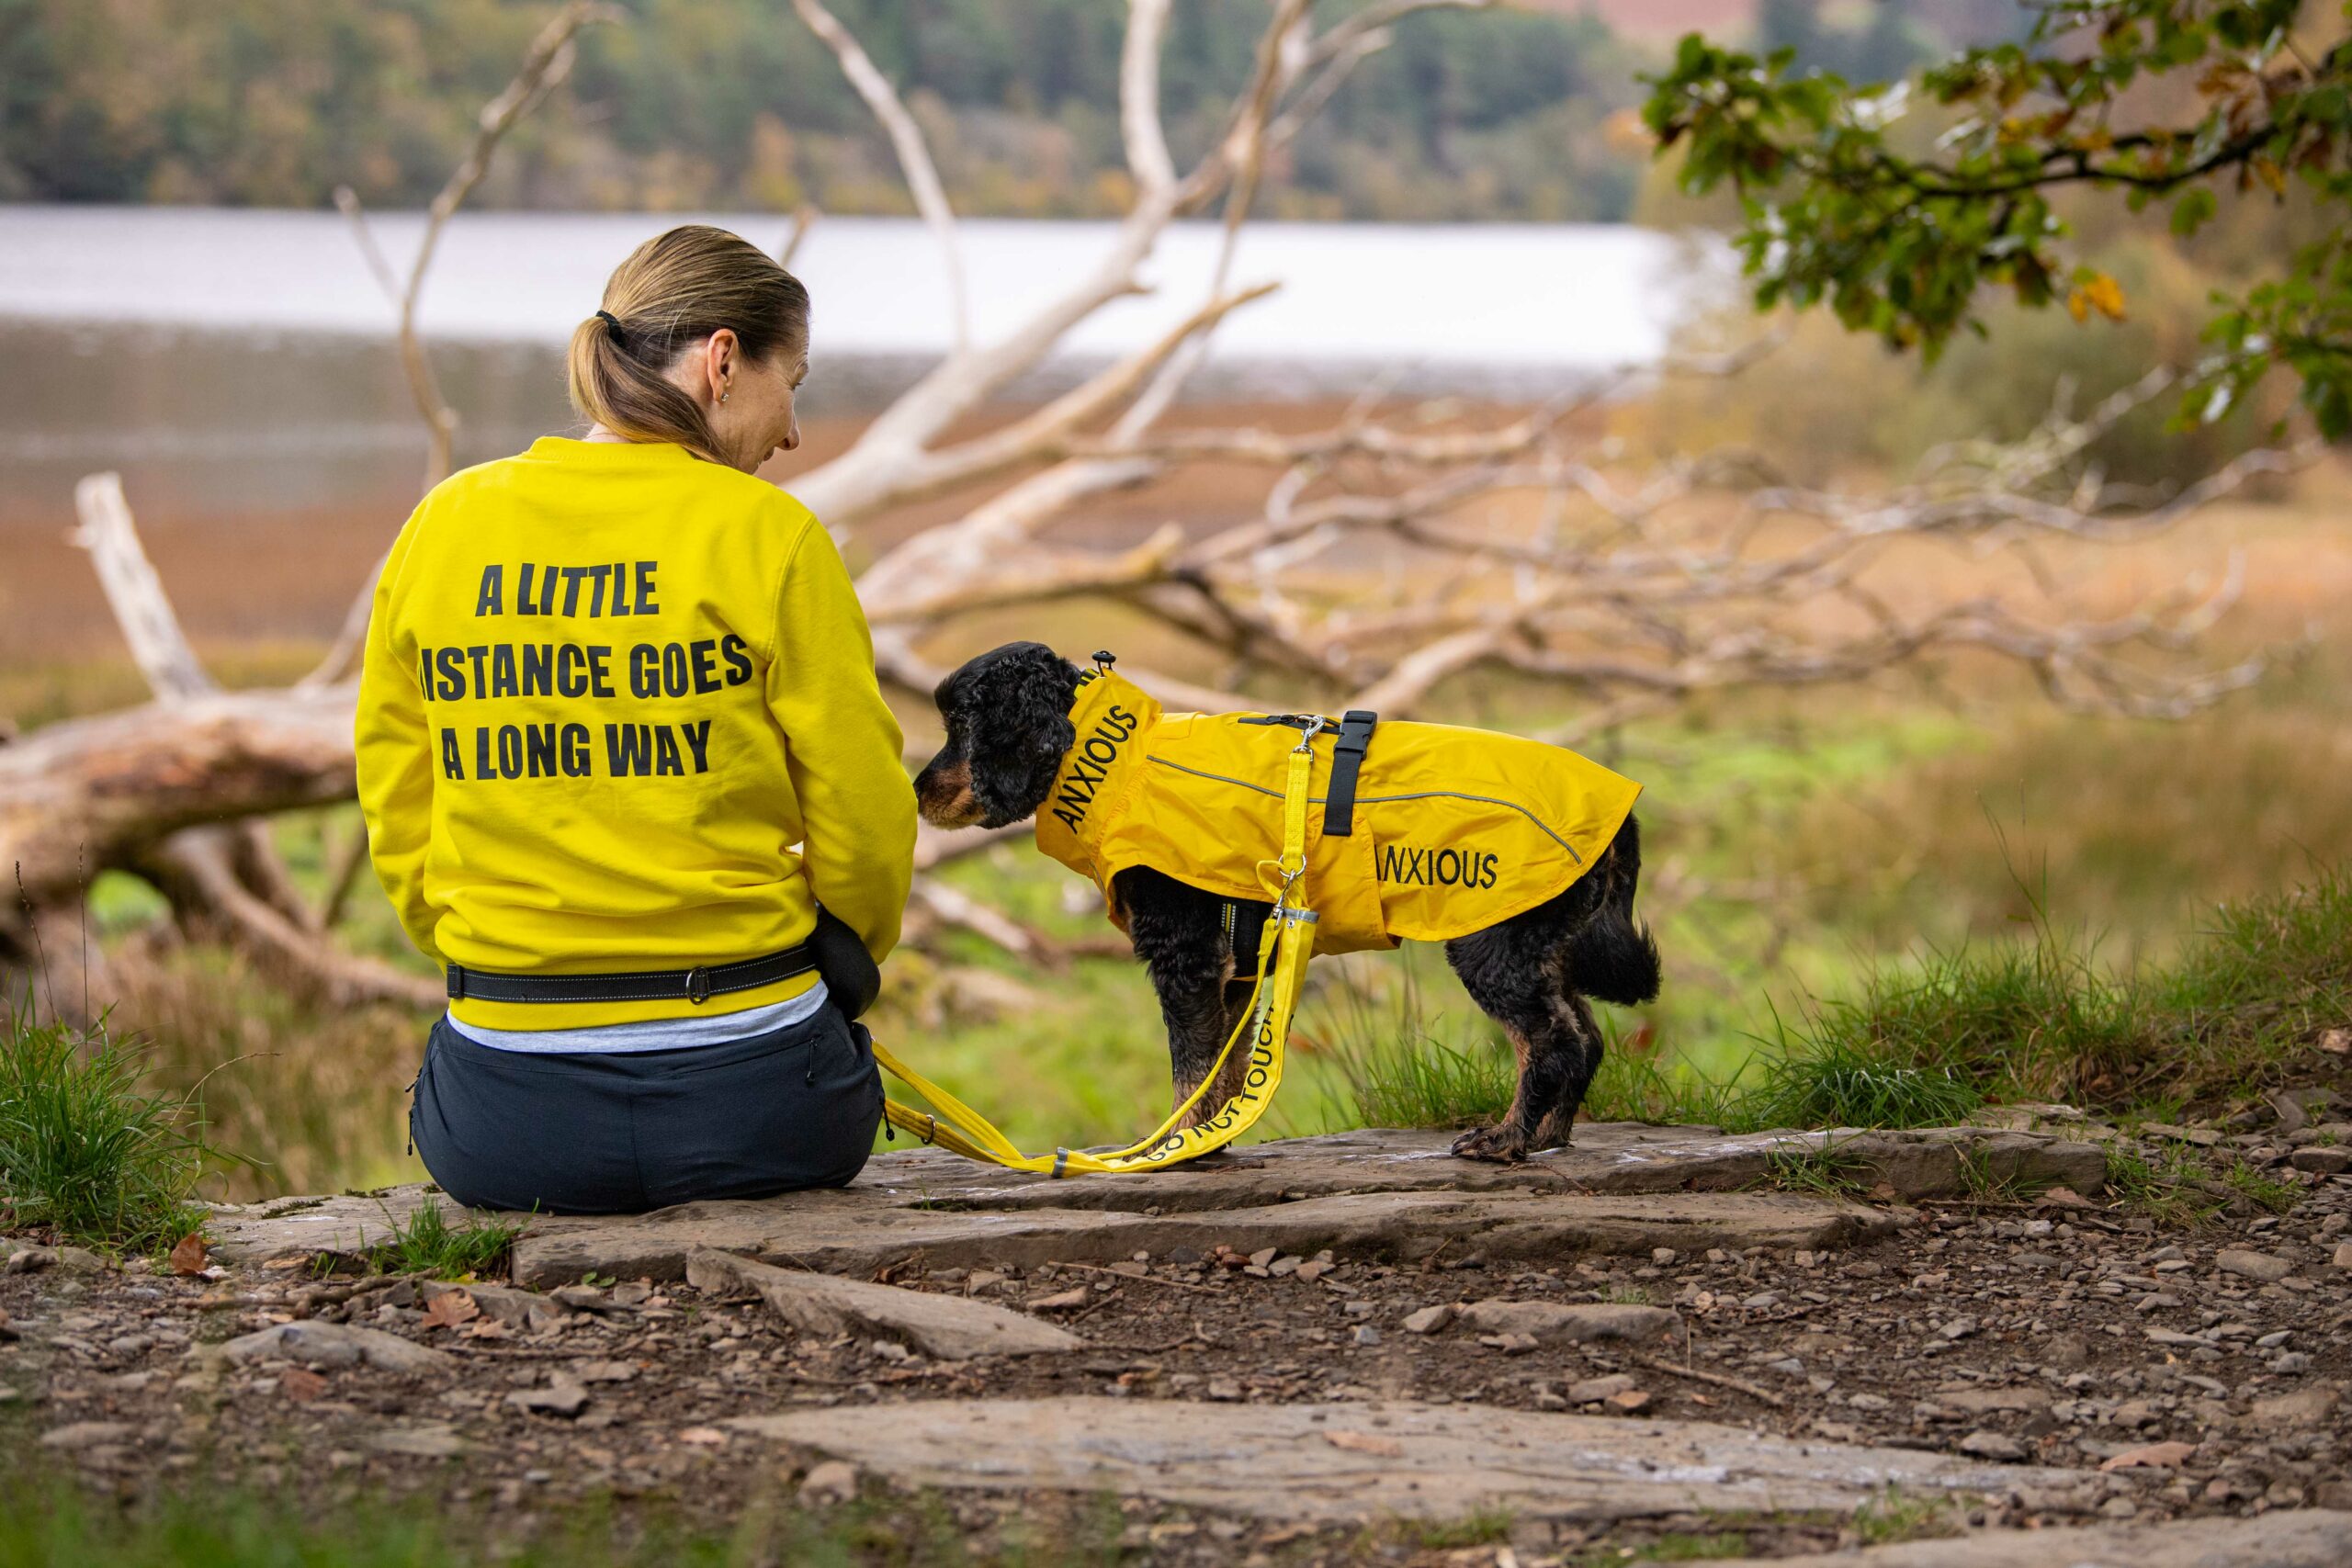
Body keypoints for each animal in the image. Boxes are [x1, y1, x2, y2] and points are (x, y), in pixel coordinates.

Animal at [908, 639, 1665, 1166]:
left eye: (959, 723)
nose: (916, 790)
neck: (1119, 763)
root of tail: (1621, 816)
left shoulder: (1185, 956)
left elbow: (1190, 1068)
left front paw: (1174, 1147)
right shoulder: (1235, 970)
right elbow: (1222, 1067)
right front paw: (1209, 1143)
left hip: (1492, 943)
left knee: (1551, 1040)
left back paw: (1506, 1138)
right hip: (1539, 944)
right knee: (1585, 1036)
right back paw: (1548, 1135)